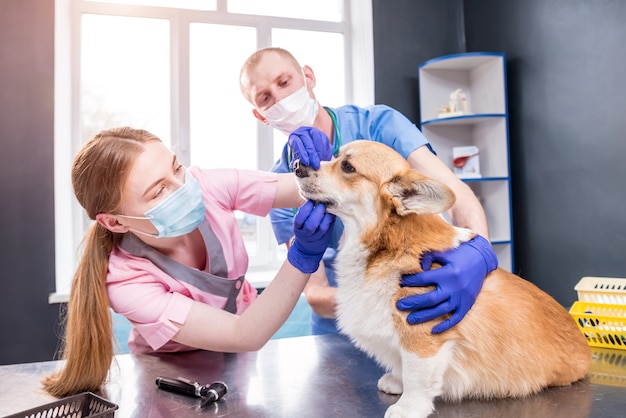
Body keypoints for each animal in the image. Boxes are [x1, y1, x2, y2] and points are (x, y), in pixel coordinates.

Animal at [290, 140, 588, 418]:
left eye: (348, 167)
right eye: (335, 155)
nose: (296, 165)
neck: (388, 246)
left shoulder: (421, 337)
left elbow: (416, 377)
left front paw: (408, 407)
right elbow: (401, 367)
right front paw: (395, 381)